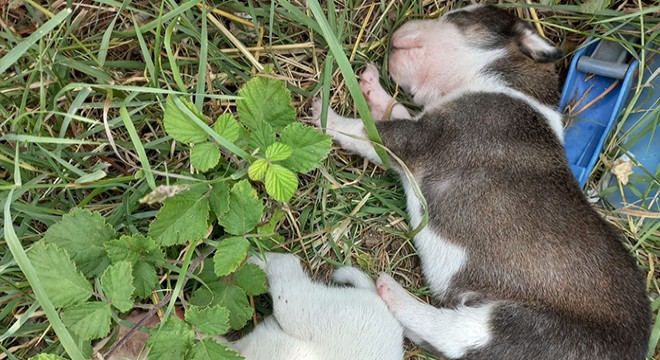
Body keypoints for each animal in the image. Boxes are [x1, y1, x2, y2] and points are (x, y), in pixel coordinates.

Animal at [314, 5, 648, 360]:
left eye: (459, 16)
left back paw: (391, 291)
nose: (397, 31)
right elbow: (395, 111)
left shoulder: (421, 139)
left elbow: (368, 130)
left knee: (452, 331)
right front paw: (371, 87)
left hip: (525, 327)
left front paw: (325, 115)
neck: (510, 83)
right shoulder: (424, 125)